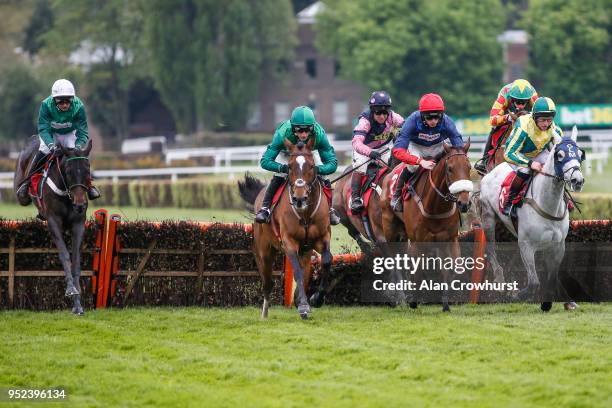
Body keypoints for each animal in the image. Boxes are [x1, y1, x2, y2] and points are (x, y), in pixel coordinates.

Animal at [13, 137, 92, 316]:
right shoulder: (53, 221)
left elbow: (76, 260)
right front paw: (71, 290)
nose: (80, 205)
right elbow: (64, 255)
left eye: (87, 170)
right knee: (22, 196)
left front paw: (77, 304)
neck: (67, 194)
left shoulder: (78, 223)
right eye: (68, 171)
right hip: (22, 195)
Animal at [238, 139, 332, 320]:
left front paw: (316, 299)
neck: (305, 214)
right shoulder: (289, 242)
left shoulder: (322, 238)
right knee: (268, 282)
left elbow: (326, 262)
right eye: (289, 166)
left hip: (305, 252)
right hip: (264, 251)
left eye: (311, 166)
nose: (299, 199)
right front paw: (304, 306)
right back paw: (265, 313)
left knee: (306, 272)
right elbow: (296, 271)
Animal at [380, 142, 476, 310]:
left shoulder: (450, 239)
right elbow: (417, 270)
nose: (464, 203)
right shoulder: (417, 241)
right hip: (390, 232)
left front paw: (445, 303)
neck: (435, 206)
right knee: (395, 263)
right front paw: (413, 300)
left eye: (469, 166)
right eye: (450, 168)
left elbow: (451, 268)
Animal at [478, 127, 584, 312]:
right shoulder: (526, 245)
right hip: (488, 217)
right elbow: (534, 282)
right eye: (560, 155)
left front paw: (563, 301)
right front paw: (516, 295)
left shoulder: (557, 245)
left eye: (580, 154)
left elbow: (553, 276)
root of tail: (492, 171)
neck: (548, 205)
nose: (577, 180)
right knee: (491, 250)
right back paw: (500, 280)